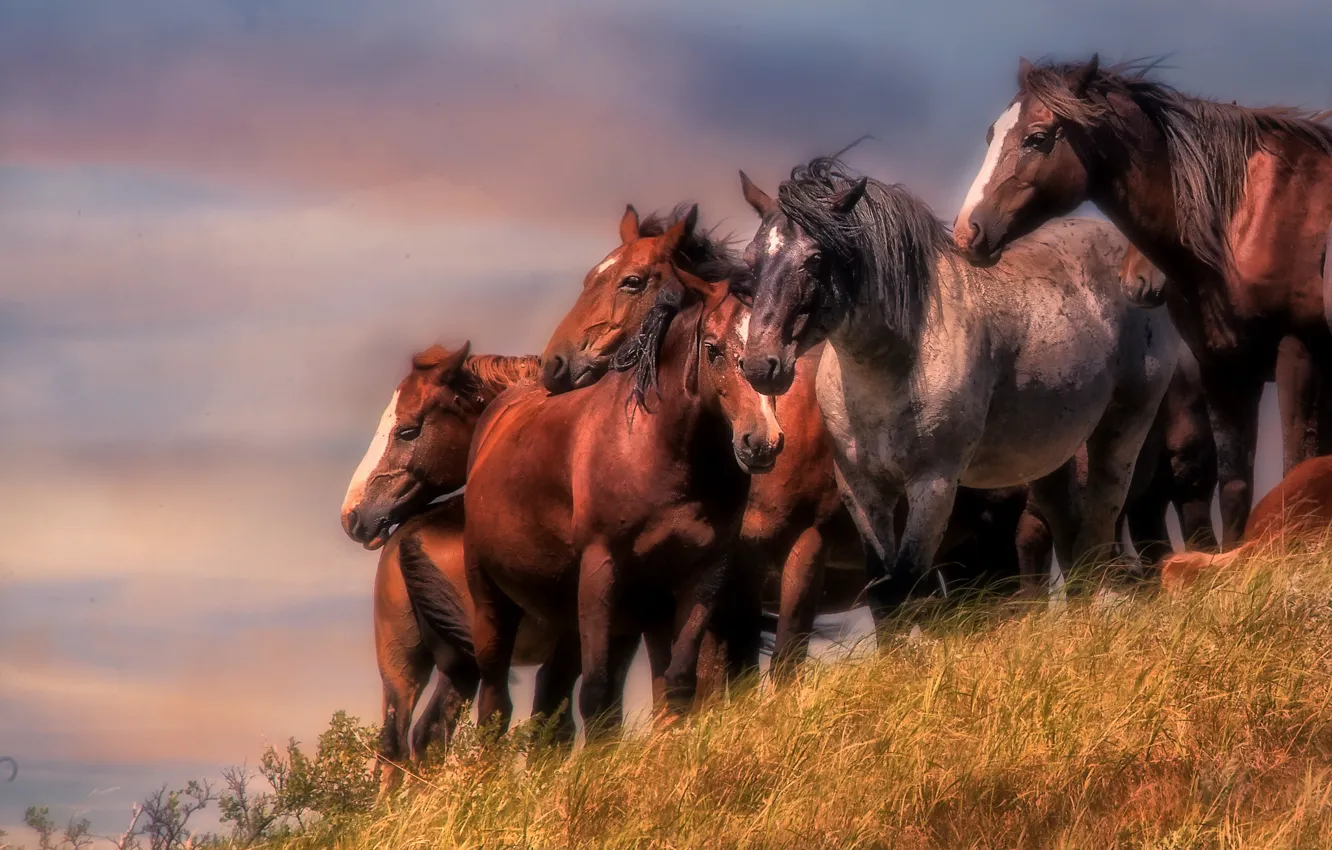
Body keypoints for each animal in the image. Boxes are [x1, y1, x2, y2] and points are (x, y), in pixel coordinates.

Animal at [737, 158, 1178, 616]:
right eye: (751, 261)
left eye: (815, 258)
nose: (760, 365)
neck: (892, 368)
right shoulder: (862, 489)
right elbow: (882, 593)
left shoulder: (934, 483)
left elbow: (907, 583)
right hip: (1050, 459)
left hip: (1123, 431)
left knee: (1098, 530)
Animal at [951, 56, 1332, 548]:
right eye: (991, 135)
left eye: (1037, 137)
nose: (967, 232)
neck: (1246, 218)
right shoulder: (1225, 368)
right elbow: (1235, 490)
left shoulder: (1297, 351)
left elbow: (1297, 465)